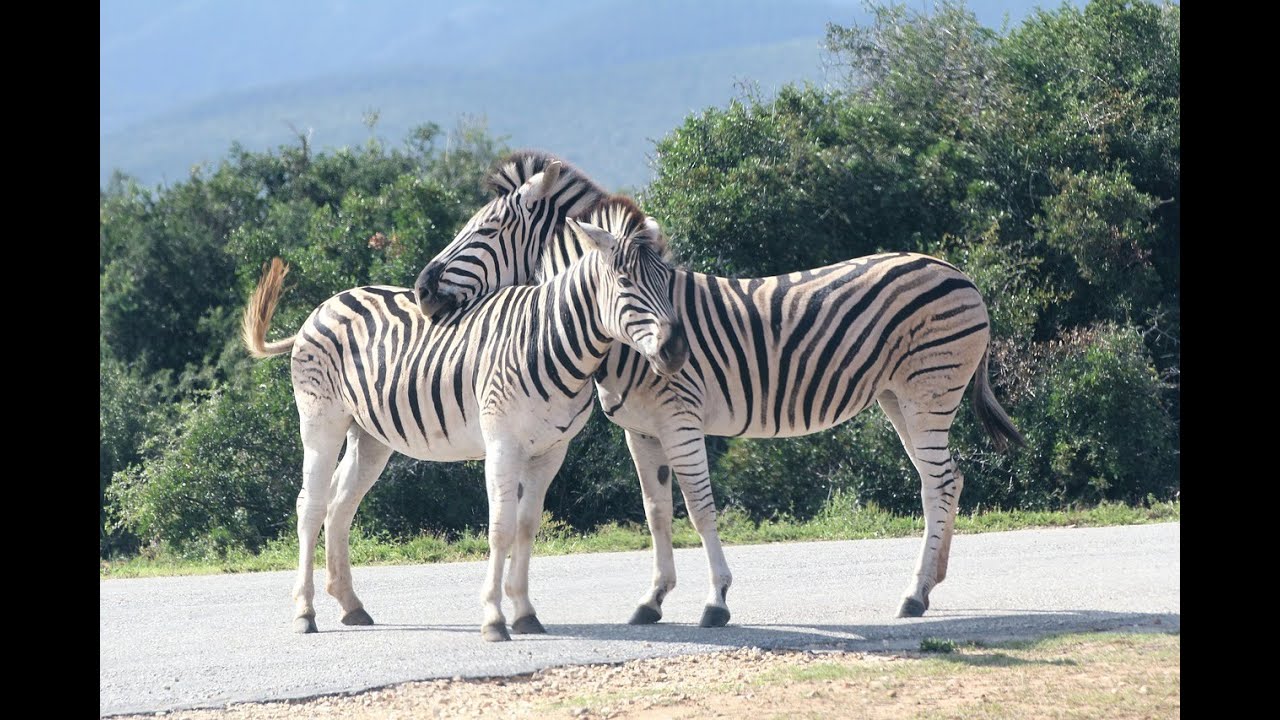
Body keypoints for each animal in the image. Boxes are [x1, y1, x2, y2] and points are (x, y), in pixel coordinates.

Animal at [241, 197, 688, 642]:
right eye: (625, 282)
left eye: (668, 280)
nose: (676, 351)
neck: (548, 337)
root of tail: (325, 304)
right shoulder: (502, 444)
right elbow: (501, 527)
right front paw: (494, 619)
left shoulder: (550, 451)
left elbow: (527, 526)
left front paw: (525, 613)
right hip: (321, 421)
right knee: (310, 505)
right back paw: (305, 613)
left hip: (369, 437)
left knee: (340, 505)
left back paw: (351, 606)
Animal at [415, 150, 1026, 626]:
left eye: (485, 231)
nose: (421, 290)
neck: (619, 338)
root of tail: (959, 272)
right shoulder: (642, 431)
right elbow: (657, 511)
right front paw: (653, 600)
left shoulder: (680, 420)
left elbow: (701, 508)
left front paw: (716, 602)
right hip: (900, 398)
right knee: (943, 479)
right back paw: (931, 582)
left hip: (929, 393)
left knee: (939, 480)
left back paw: (915, 592)